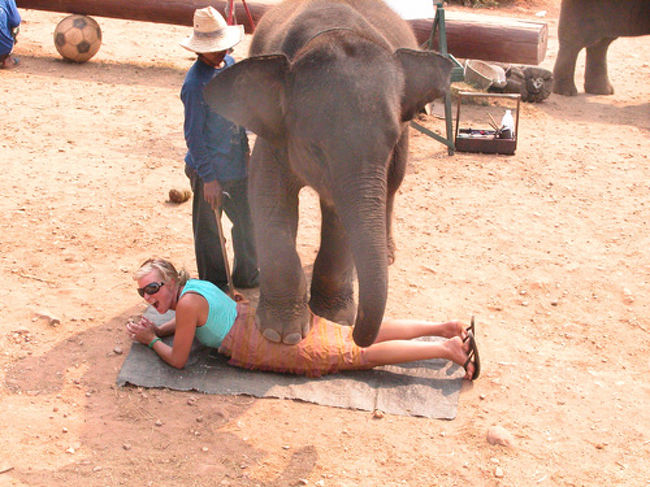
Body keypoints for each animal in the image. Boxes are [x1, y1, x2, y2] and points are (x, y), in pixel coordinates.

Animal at [204, 0, 450, 346]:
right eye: (315, 148)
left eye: (388, 142)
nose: (358, 336)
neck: (329, 33)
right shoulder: (276, 131)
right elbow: (268, 195)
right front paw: (281, 335)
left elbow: (339, 215)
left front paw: (334, 318)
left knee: (392, 185)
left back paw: (388, 255)